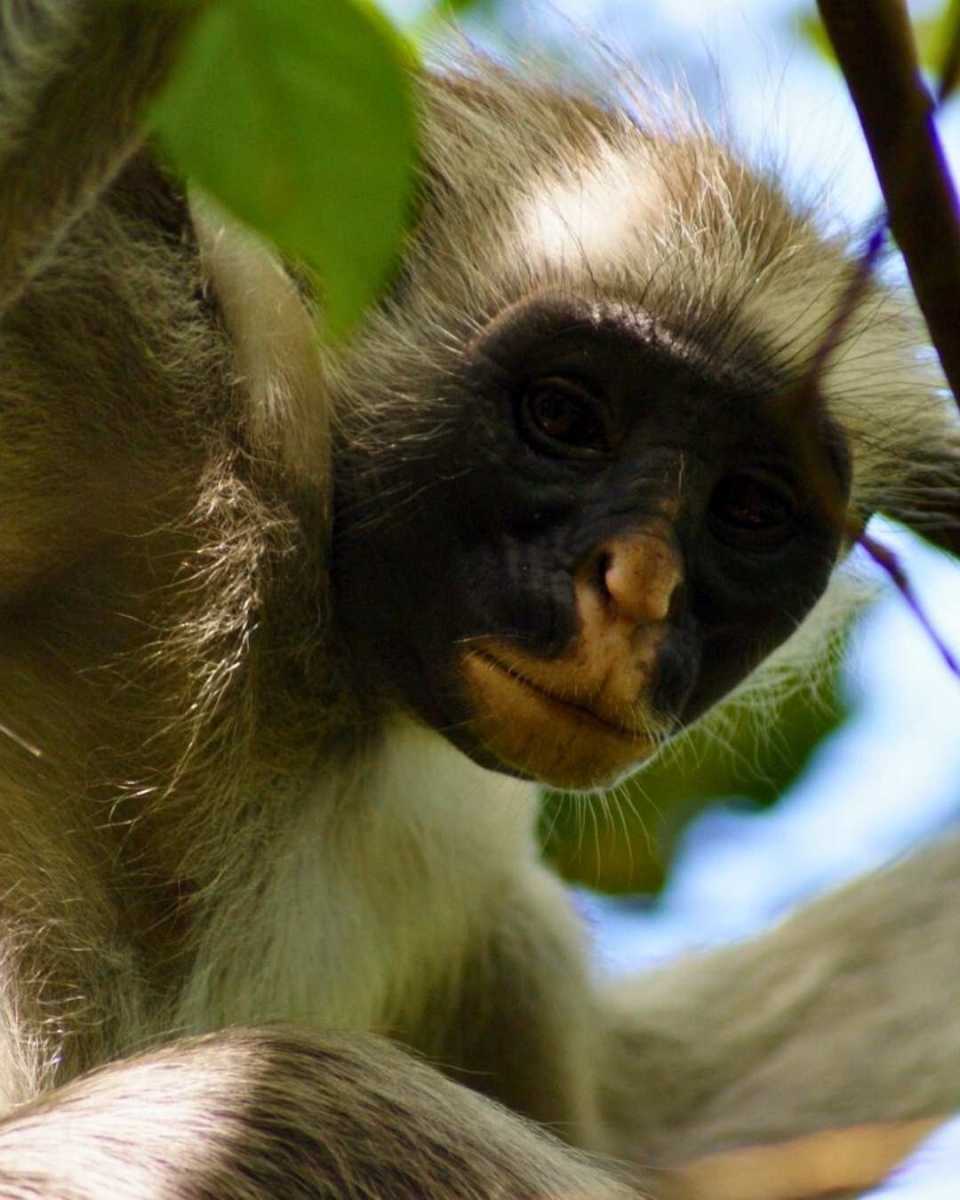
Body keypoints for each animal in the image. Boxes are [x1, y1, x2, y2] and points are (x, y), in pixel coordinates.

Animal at [1, 0, 960, 1195]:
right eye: (563, 416)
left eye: (749, 508)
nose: (637, 593)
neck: (316, 677)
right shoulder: (152, 379)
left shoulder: (457, 862)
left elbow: (654, 1126)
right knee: (311, 1101)